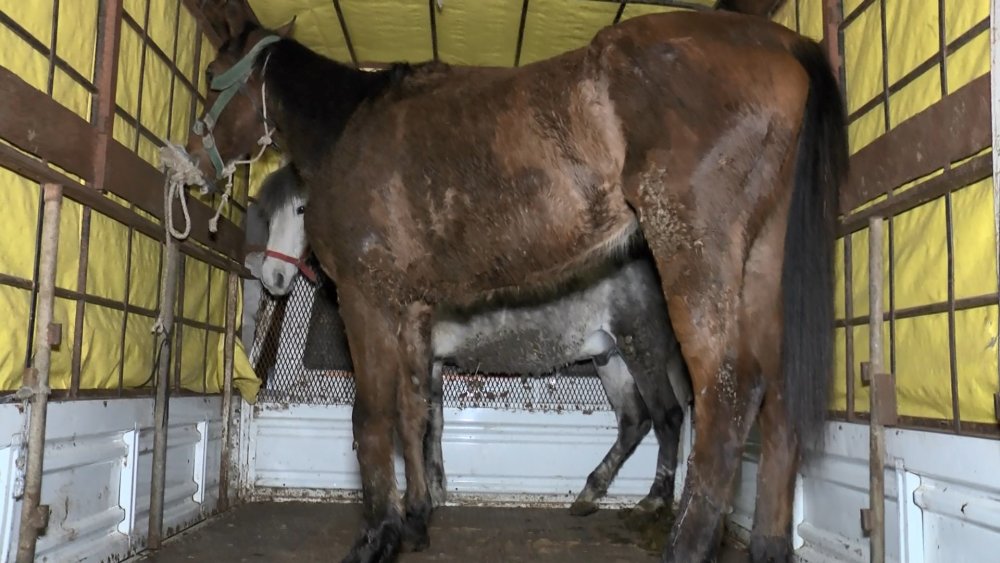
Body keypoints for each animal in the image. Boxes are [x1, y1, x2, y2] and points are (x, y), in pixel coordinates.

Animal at [258, 165, 692, 516]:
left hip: (641, 348)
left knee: (668, 417)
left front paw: (423, 496)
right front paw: (436, 490)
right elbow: (434, 422)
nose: (272, 278)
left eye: (301, 210)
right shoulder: (432, 361)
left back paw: (653, 500)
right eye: (268, 215)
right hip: (609, 355)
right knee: (633, 421)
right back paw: (588, 494)